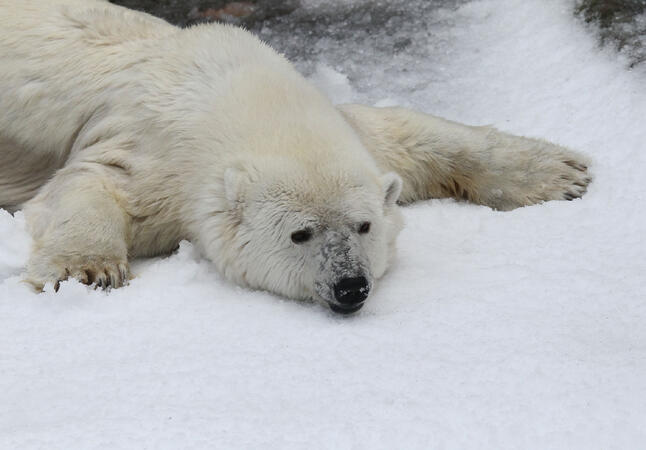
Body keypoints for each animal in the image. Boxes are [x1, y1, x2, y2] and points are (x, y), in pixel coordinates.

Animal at [0, 0, 592, 312]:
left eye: (363, 226)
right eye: (299, 233)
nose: (351, 287)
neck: (234, 94)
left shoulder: (348, 134)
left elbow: (405, 133)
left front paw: (562, 172)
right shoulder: (152, 152)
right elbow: (91, 185)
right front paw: (86, 272)